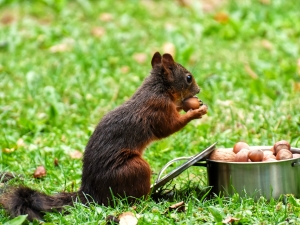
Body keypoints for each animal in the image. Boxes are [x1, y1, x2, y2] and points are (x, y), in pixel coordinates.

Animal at [0, 51, 206, 221]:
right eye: (188, 78)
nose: (199, 90)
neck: (158, 89)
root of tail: (89, 193)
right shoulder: (158, 110)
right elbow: (168, 128)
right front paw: (195, 112)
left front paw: (187, 105)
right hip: (134, 167)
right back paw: (154, 199)